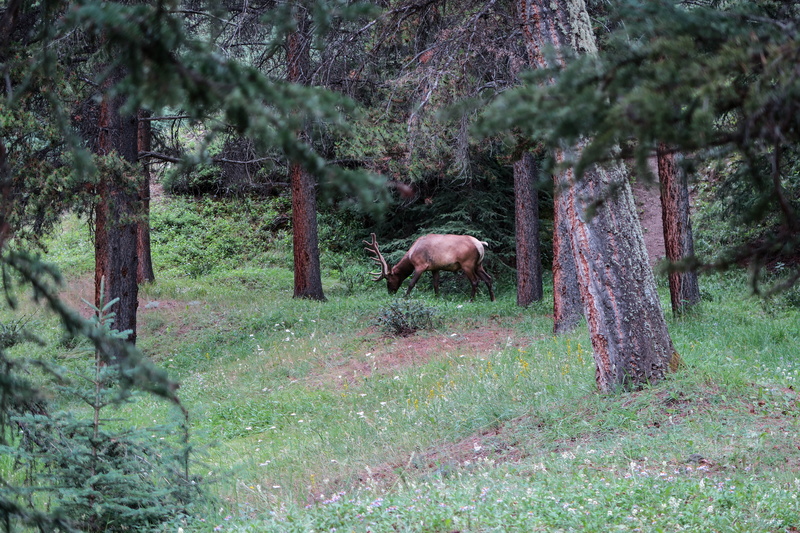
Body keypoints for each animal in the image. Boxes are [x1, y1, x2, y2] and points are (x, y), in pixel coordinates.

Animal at [363, 233, 495, 301]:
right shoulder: (435, 268)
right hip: (478, 264)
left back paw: (471, 299)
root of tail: (480, 244)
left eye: (389, 280)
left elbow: (411, 283)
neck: (411, 255)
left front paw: (405, 297)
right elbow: (435, 284)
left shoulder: (420, 265)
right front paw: (437, 298)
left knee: (475, 281)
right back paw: (492, 299)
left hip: (467, 264)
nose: (390, 292)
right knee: (488, 278)